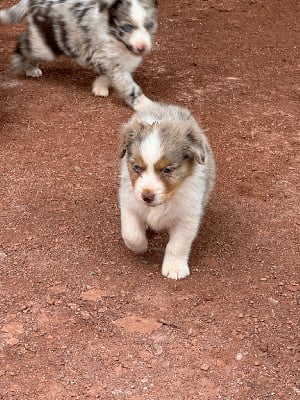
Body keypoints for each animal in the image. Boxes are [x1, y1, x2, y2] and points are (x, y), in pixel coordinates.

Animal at [0, 0, 158, 109]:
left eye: (149, 25)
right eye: (127, 27)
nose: (142, 47)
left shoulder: (112, 62)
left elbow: (107, 76)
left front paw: (99, 87)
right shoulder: (110, 61)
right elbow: (130, 87)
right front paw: (146, 105)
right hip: (45, 46)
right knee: (24, 41)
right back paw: (24, 64)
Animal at [118, 101, 214, 280]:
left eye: (167, 170)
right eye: (136, 167)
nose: (147, 196)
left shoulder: (187, 217)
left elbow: (177, 245)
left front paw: (175, 268)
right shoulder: (129, 203)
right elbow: (131, 235)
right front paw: (141, 247)